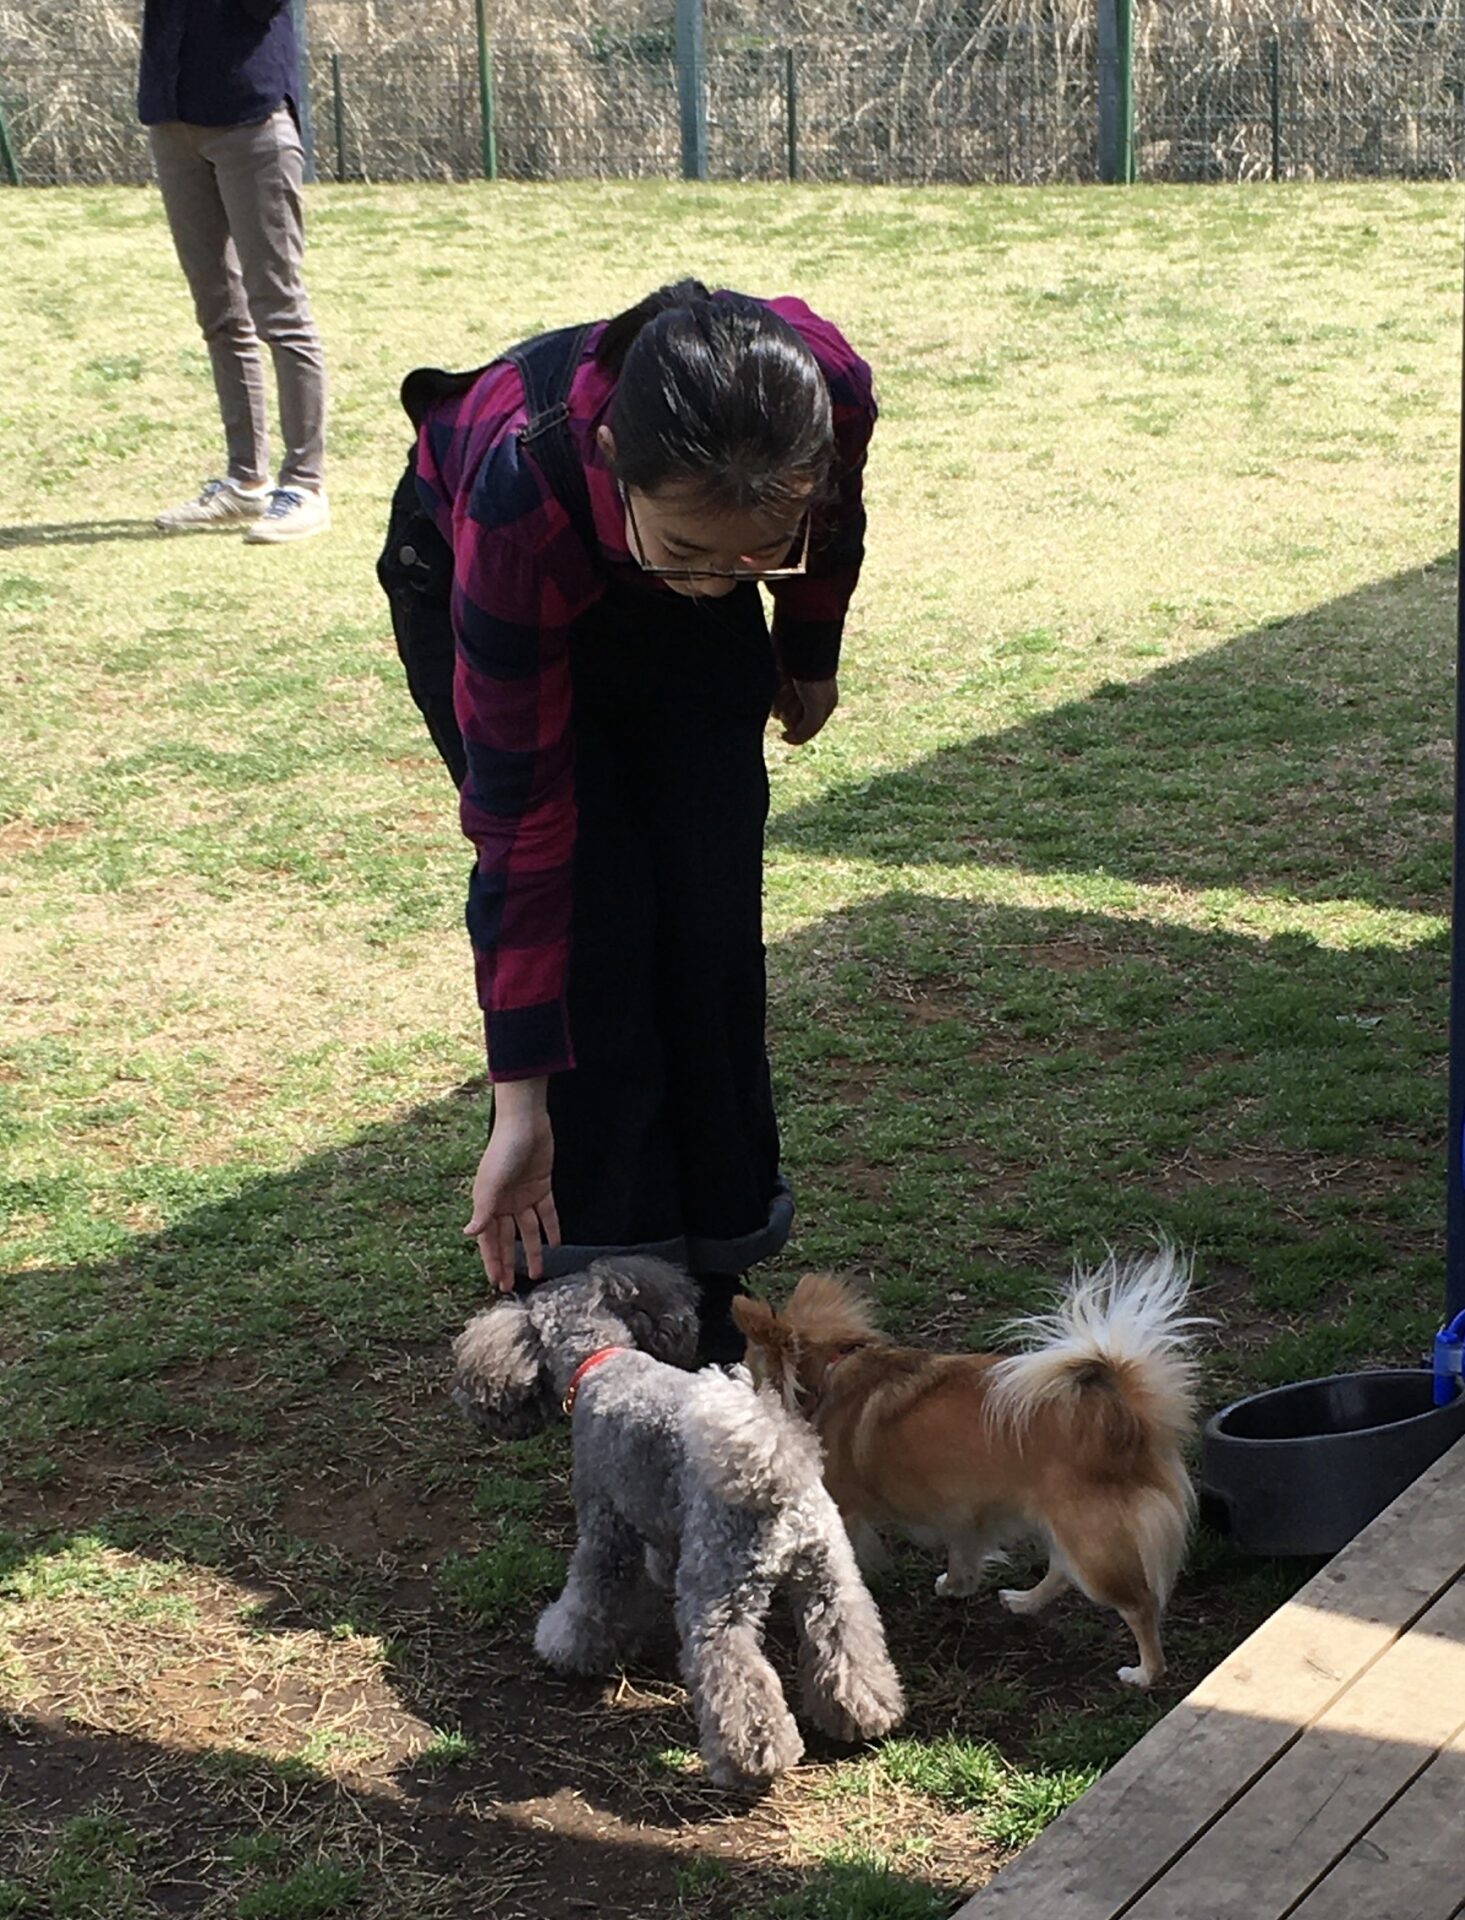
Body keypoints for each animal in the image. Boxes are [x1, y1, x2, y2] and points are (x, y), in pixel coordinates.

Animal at [450, 1256, 905, 1789]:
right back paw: (866, 1713)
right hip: (831, 1575)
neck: (602, 1361)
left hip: (716, 1592)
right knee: (846, 1641)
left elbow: (589, 1596)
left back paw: (753, 1757)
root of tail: (773, 1468)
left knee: (734, 1674)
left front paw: (563, 1645)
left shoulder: (604, 1527)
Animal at [734, 1248, 1200, 1688]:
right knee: (1061, 1572)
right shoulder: (963, 1510)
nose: (737, 1381)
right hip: (1066, 1528)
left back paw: (1145, 1672)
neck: (829, 1374)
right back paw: (1023, 1601)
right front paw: (956, 1586)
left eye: (752, 1368)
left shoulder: (847, 1508)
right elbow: (963, 1552)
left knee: (1138, 1605)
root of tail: (1127, 1420)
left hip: (1089, 1541)